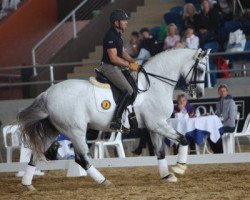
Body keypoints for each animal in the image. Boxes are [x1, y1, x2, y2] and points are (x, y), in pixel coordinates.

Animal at [17, 47, 209, 190]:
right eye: (200, 70)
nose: (199, 94)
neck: (155, 84)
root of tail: (47, 93)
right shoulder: (158, 124)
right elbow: (183, 139)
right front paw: (180, 167)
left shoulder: (154, 126)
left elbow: (160, 152)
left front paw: (167, 175)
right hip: (75, 130)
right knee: (81, 158)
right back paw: (104, 181)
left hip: (55, 129)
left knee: (36, 153)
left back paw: (28, 185)